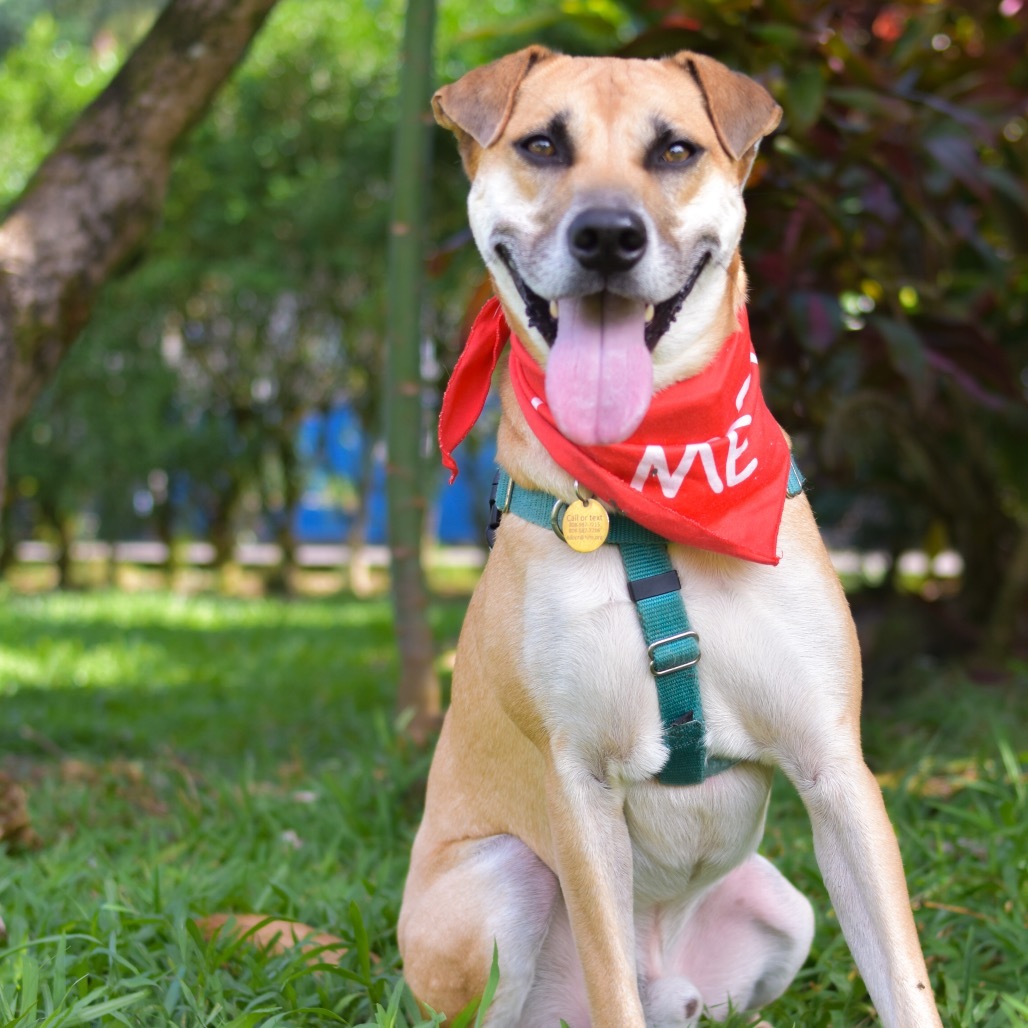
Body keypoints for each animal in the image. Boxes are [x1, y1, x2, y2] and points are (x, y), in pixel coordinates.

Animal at [396, 48, 941, 1028]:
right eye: (543, 144)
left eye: (675, 150)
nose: (608, 237)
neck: (660, 507)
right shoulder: (578, 788)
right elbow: (610, 978)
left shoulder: (837, 772)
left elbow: (906, 986)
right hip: (504, 881)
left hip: (783, 905)